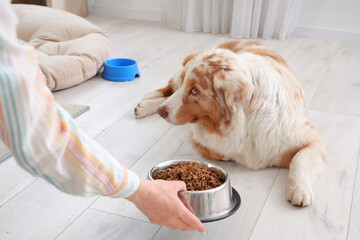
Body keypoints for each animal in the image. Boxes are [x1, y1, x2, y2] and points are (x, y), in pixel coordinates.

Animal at [134, 41, 326, 206]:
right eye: (185, 85)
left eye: (195, 90)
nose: (161, 112)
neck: (243, 119)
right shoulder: (203, 139)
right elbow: (224, 152)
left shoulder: (311, 139)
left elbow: (299, 159)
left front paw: (299, 191)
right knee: (167, 89)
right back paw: (146, 103)